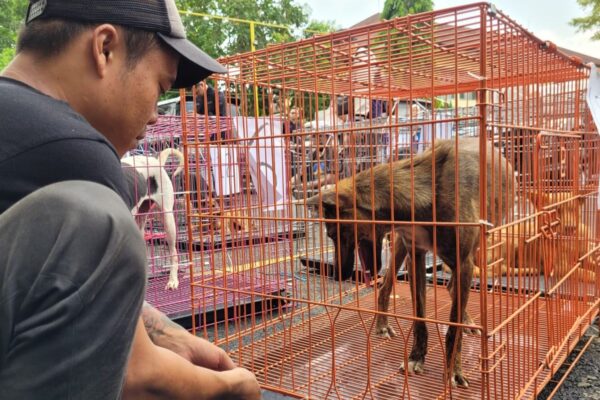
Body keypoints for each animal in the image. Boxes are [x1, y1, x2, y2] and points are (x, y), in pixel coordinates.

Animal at [308, 138, 516, 388]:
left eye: (332, 234)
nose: (337, 275)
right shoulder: (415, 257)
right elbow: (419, 318)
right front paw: (416, 357)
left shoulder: (463, 262)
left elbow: (453, 326)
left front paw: (453, 370)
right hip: (401, 249)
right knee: (386, 287)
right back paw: (382, 325)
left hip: (476, 246)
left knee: (454, 289)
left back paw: (466, 319)